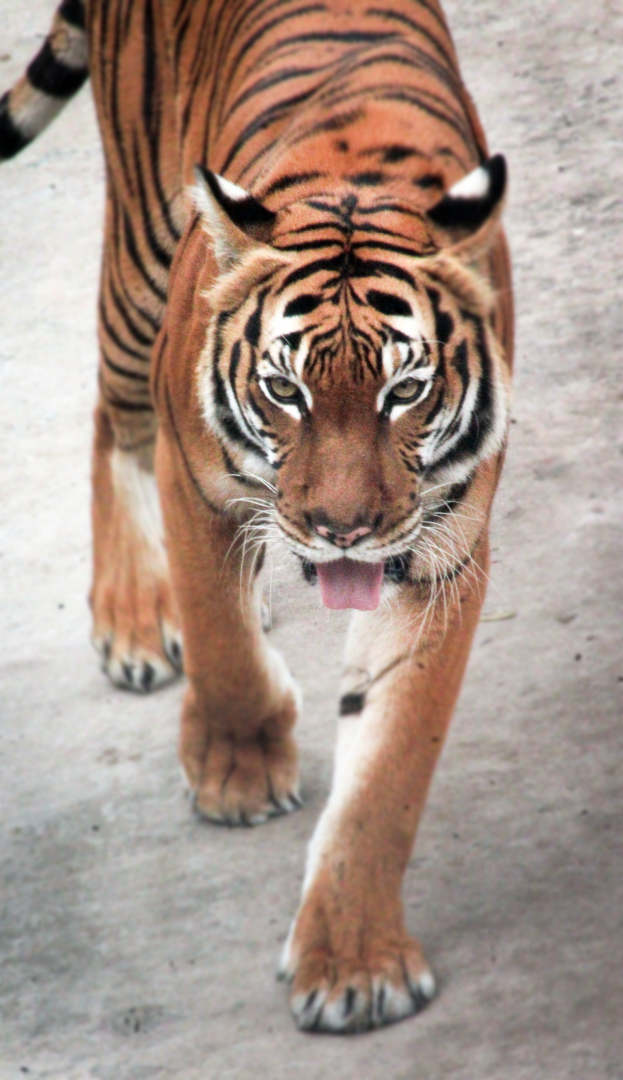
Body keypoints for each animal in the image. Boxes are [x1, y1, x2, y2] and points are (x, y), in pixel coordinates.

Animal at [2, 0, 514, 1034]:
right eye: (285, 390)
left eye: (406, 391)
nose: (341, 529)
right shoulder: (194, 479)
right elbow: (221, 642)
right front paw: (237, 771)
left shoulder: (444, 554)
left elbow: (390, 761)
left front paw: (354, 963)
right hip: (137, 268)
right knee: (109, 413)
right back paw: (133, 618)